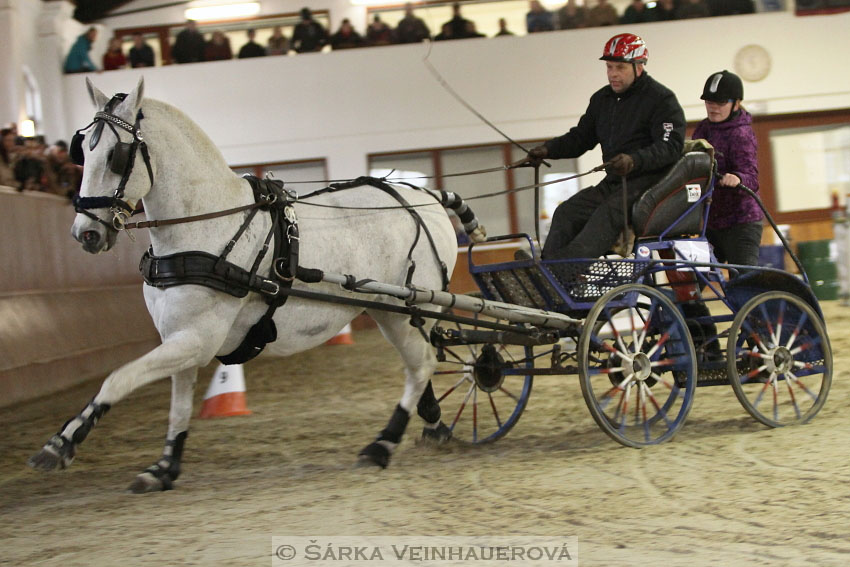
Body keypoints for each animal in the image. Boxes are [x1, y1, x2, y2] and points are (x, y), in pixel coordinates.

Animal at [29, 79, 464, 492]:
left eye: (116, 157)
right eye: (82, 151)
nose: (85, 234)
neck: (205, 225)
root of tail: (424, 196)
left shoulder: (196, 338)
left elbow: (119, 377)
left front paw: (60, 444)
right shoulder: (180, 335)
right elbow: (178, 403)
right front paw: (164, 468)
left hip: (408, 309)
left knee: (421, 364)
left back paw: (382, 445)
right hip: (388, 312)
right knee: (420, 363)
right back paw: (433, 424)